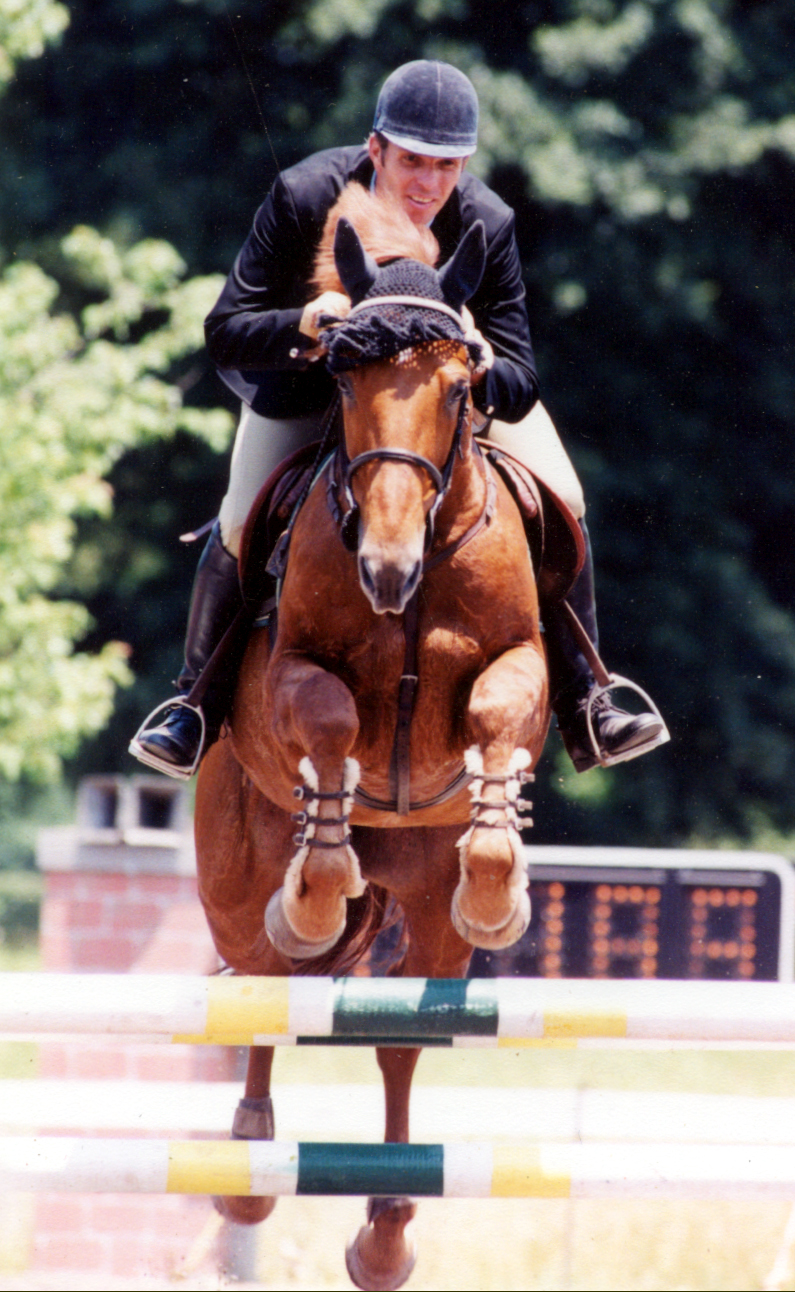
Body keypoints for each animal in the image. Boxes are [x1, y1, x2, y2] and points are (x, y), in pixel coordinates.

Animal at [195, 191, 550, 1292]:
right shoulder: (291, 677)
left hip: (421, 907)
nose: (386, 570)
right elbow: (331, 726)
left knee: (402, 1036)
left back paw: (387, 1231)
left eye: (460, 384)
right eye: (343, 378)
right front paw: (316, 890)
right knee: (258, 983)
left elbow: (496, 729)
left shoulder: (518, 663)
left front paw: (500, 888)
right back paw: (247, 1168)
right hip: (230, 878)